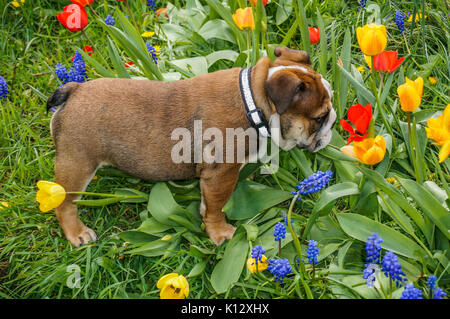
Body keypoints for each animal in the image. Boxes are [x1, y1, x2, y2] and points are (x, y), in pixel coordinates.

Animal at [47, 47, 336, 248]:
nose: (333, 121)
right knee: (64, 203)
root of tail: (73, 90)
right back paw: (77, 233)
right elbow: (216, 208)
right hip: (77, 163)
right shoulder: (220, 175)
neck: (253, 101)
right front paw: (220, 233)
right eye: (319, 118)